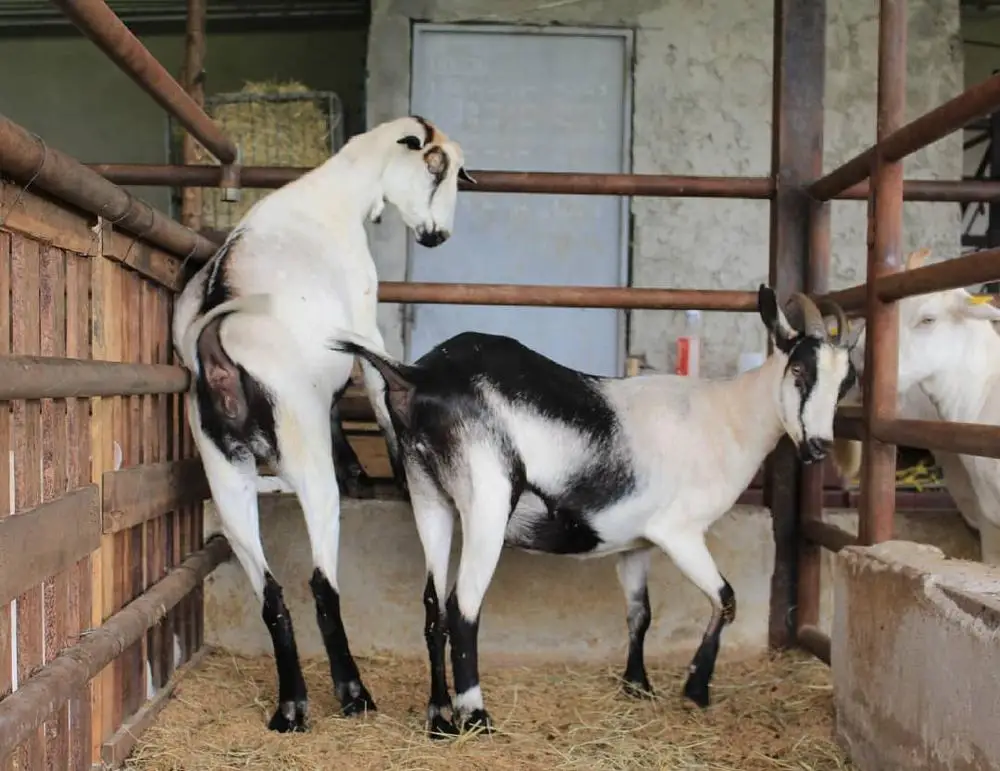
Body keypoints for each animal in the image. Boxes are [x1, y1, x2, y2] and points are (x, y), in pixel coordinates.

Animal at [171, 115, 473, 732]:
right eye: (437, 167)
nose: (437, 236)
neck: (331, 198)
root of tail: (216, 347)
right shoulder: (364, 323)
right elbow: (378, 391)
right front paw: (392, 473)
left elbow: (340, 409)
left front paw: (359, 468)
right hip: (300, 448)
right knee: (320, 583)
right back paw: (352, 691)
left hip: (224, 472)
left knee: (271, 594)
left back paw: (291, 705)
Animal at [329, 286, 857, 737]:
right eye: (799, 371)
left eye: (847, 382)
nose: (818, 447)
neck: (725, 419)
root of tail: (416, 375)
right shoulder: (680, 532)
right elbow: (725, 598)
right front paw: (695, 686)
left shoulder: (636, 544)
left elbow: (640, 613)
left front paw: (637, 685)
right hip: (487, 497)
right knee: (463, 607)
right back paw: (475, 716)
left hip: (430, 497)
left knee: (433, 605)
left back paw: (439, 718)